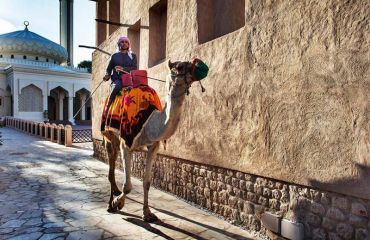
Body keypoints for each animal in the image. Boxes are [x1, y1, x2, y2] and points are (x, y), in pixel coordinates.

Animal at [102, 59, 204, 222]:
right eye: (180, 66)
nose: (200, 67)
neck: (149, 121)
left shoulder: (153, 146)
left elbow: (147, 182)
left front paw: (148, 213)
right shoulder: (126, 143)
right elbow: (128, 186)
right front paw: (118, 203)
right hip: (109, 136)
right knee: (111, 168)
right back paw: (110, 203)